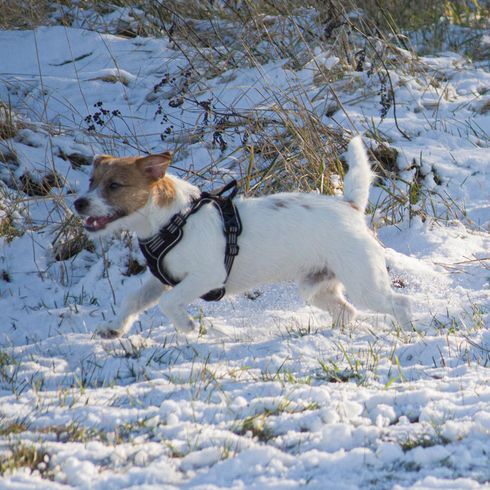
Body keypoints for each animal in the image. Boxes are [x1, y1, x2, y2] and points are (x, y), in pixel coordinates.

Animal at [73, 136, 410, 338]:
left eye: (114, 186)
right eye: (90, 181)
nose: (78, 203)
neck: (173, 220)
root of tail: (350, 206)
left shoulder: (206, 276)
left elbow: (169, 303)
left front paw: (186, 326)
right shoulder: (161, 278)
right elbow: (133, 299)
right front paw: (114, 328)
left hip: (365, 284)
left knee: (400, 303)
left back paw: (408, 331)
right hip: (316, 286)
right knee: (347, 310)